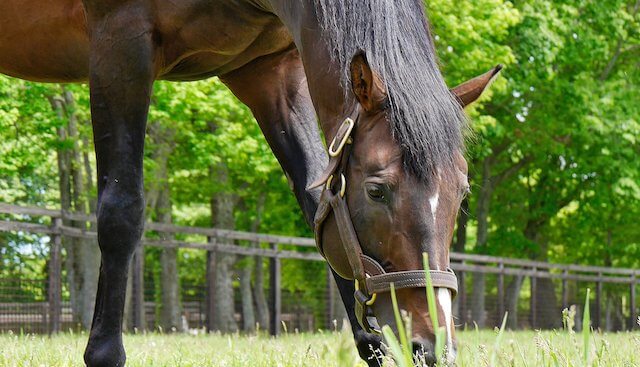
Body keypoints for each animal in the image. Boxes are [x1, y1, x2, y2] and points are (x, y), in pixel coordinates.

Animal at [0, 0, 500, 366]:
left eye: (461, 196)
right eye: (377, 190)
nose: (432, 345)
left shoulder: (270, 70)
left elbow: (317, 203)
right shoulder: (119, 46)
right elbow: (120, 211)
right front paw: (104, 353)